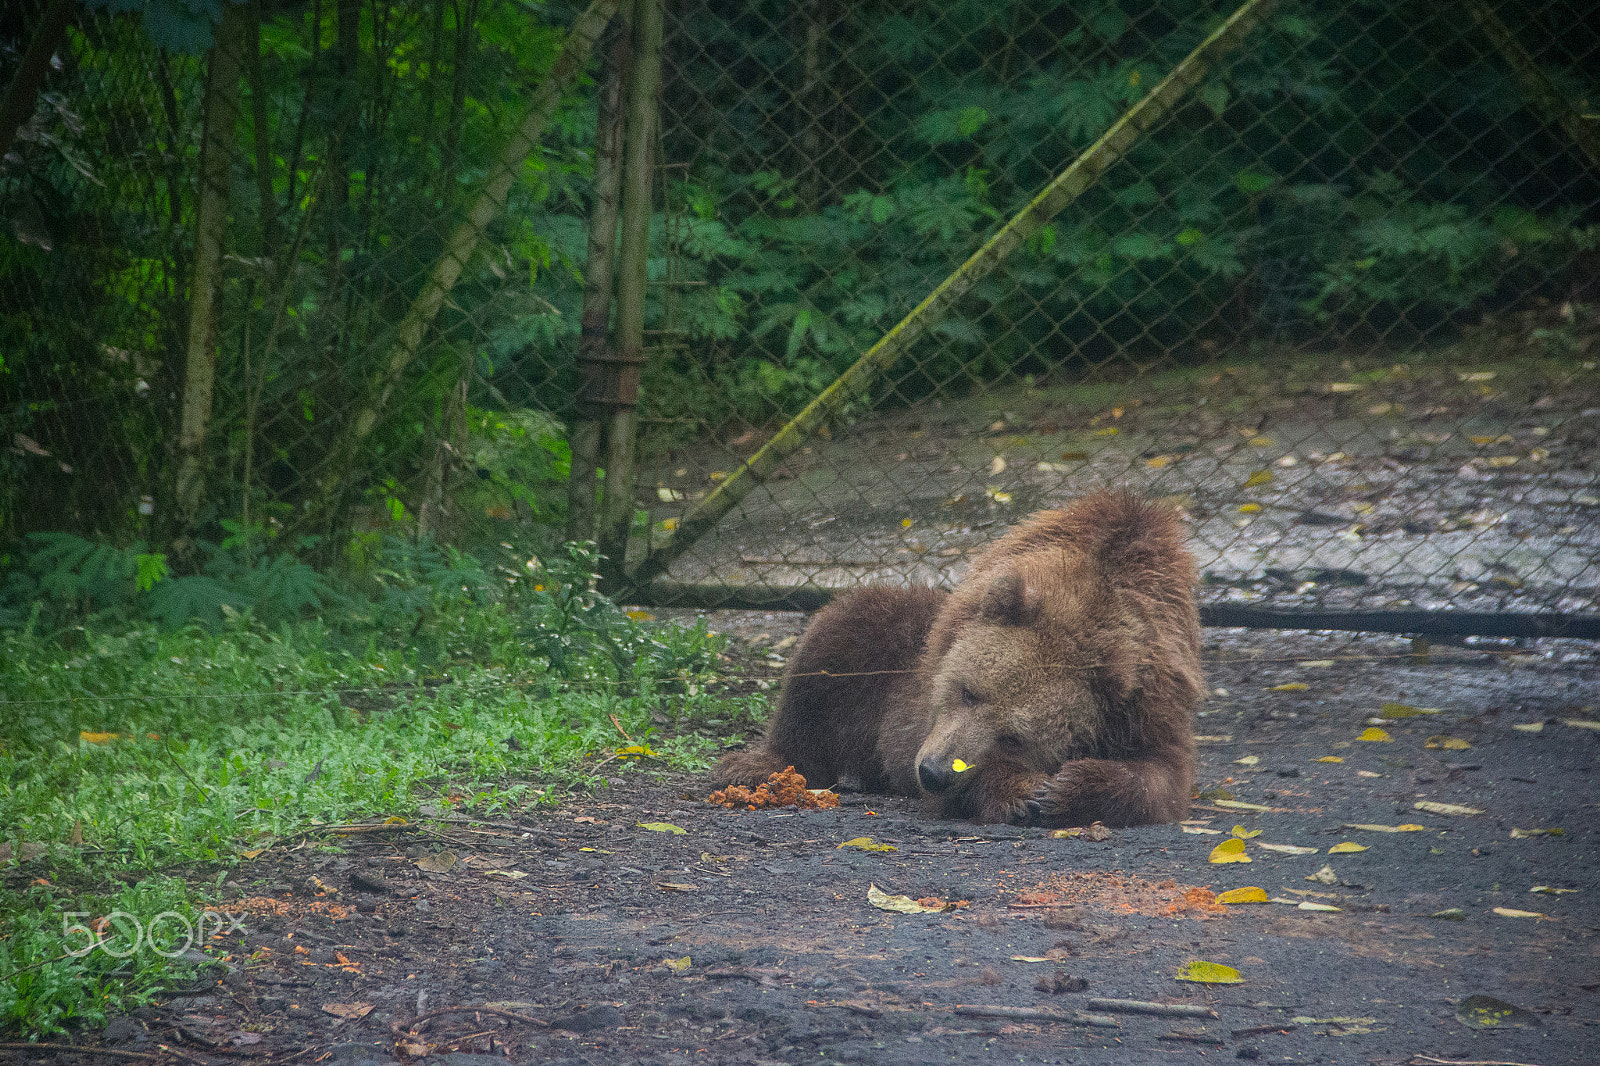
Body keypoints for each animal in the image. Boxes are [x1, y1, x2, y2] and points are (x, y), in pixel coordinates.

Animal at [712, 490, 1203, 827]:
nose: (934, 772)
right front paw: (1020, 793)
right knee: (825, 657)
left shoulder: (1147, 704)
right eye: (969, 691)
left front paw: (1068, 787)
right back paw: (757, 765)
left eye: (1014, 737)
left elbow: (1162, 777)